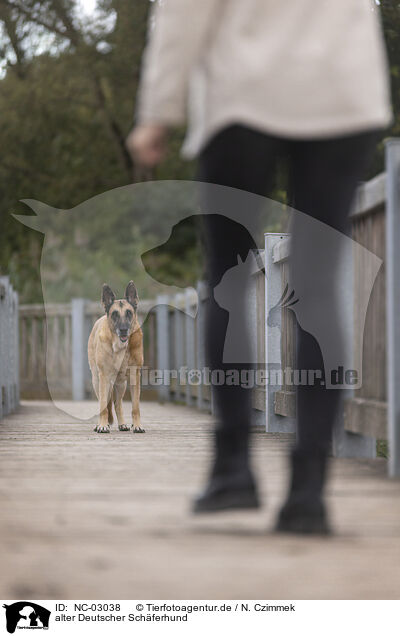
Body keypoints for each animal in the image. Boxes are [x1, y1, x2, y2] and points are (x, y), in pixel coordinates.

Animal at [88, 282, 145, 434]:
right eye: (114, 314)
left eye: (129, 313)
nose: (124, 330)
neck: (120, 347)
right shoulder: (104, 377)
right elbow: (103, 405)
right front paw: (102, 425)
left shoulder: (134, 377)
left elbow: (135, 407)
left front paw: (137, 425)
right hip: (97, 381)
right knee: (103, 403)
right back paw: (101, 424)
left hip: (121, 384)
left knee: (117, 403)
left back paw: (122, 424)